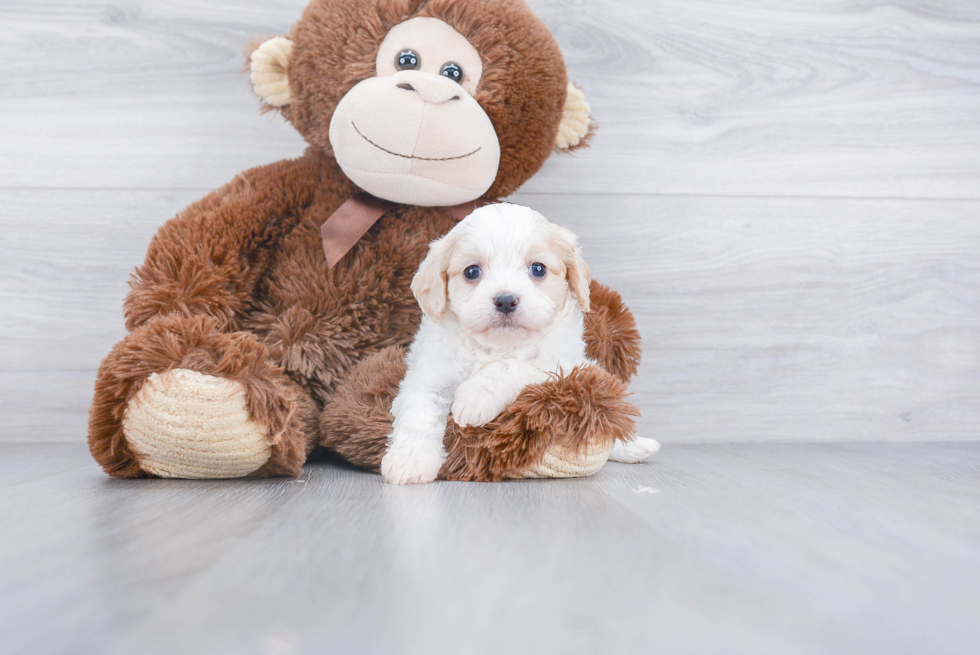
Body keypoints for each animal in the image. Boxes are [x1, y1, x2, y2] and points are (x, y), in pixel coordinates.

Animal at [382, 205, 660, 486]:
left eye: (538, 269)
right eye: (472, 272)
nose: (506, 300)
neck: (498, 346)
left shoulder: (561, 368)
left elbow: (511, 366)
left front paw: (475, 397)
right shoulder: (430, 374)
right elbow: (419, 411)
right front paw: (410, 460)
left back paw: (636, 446)